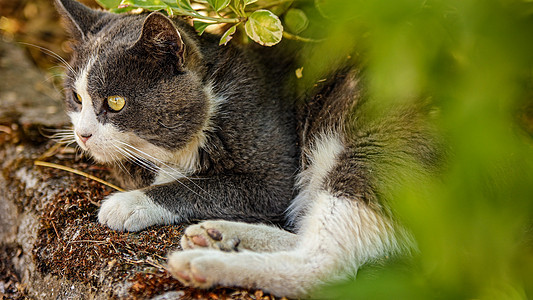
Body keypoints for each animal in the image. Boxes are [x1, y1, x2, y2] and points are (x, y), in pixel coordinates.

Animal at [55, 0, 440, 296]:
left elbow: (202, 185)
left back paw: (204, 263)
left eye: (116, 102)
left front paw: (131, 202)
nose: (83, 134)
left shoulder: (272, 166)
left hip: (375, 147)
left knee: (325, 263)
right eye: (76, 98)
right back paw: (219, 236)